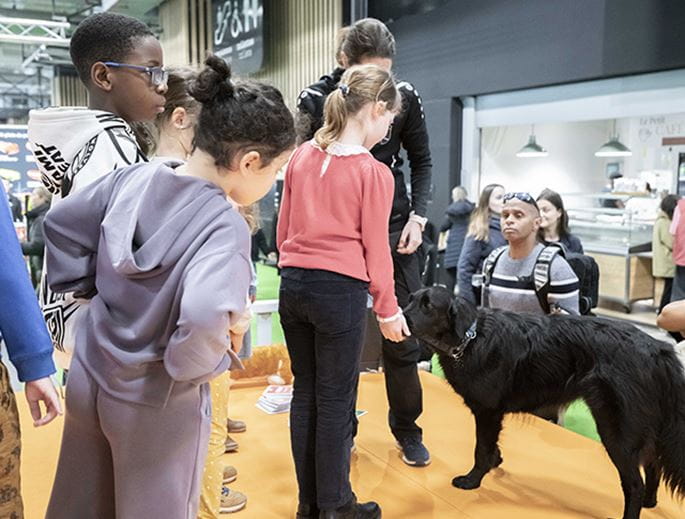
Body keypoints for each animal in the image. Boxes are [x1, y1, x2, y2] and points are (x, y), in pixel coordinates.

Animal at [404, 286, 684, 516]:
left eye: (428, 305)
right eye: (411, 300)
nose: (400, 317)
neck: (470, 338)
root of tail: (658, 348)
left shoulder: (487, 411)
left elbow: (481, 449)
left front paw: (472, 480)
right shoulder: (493, 414)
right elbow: (491, 446)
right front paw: (496, 462)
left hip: (617, 431)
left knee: (634, 484)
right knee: (653, 466)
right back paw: (649, 502)